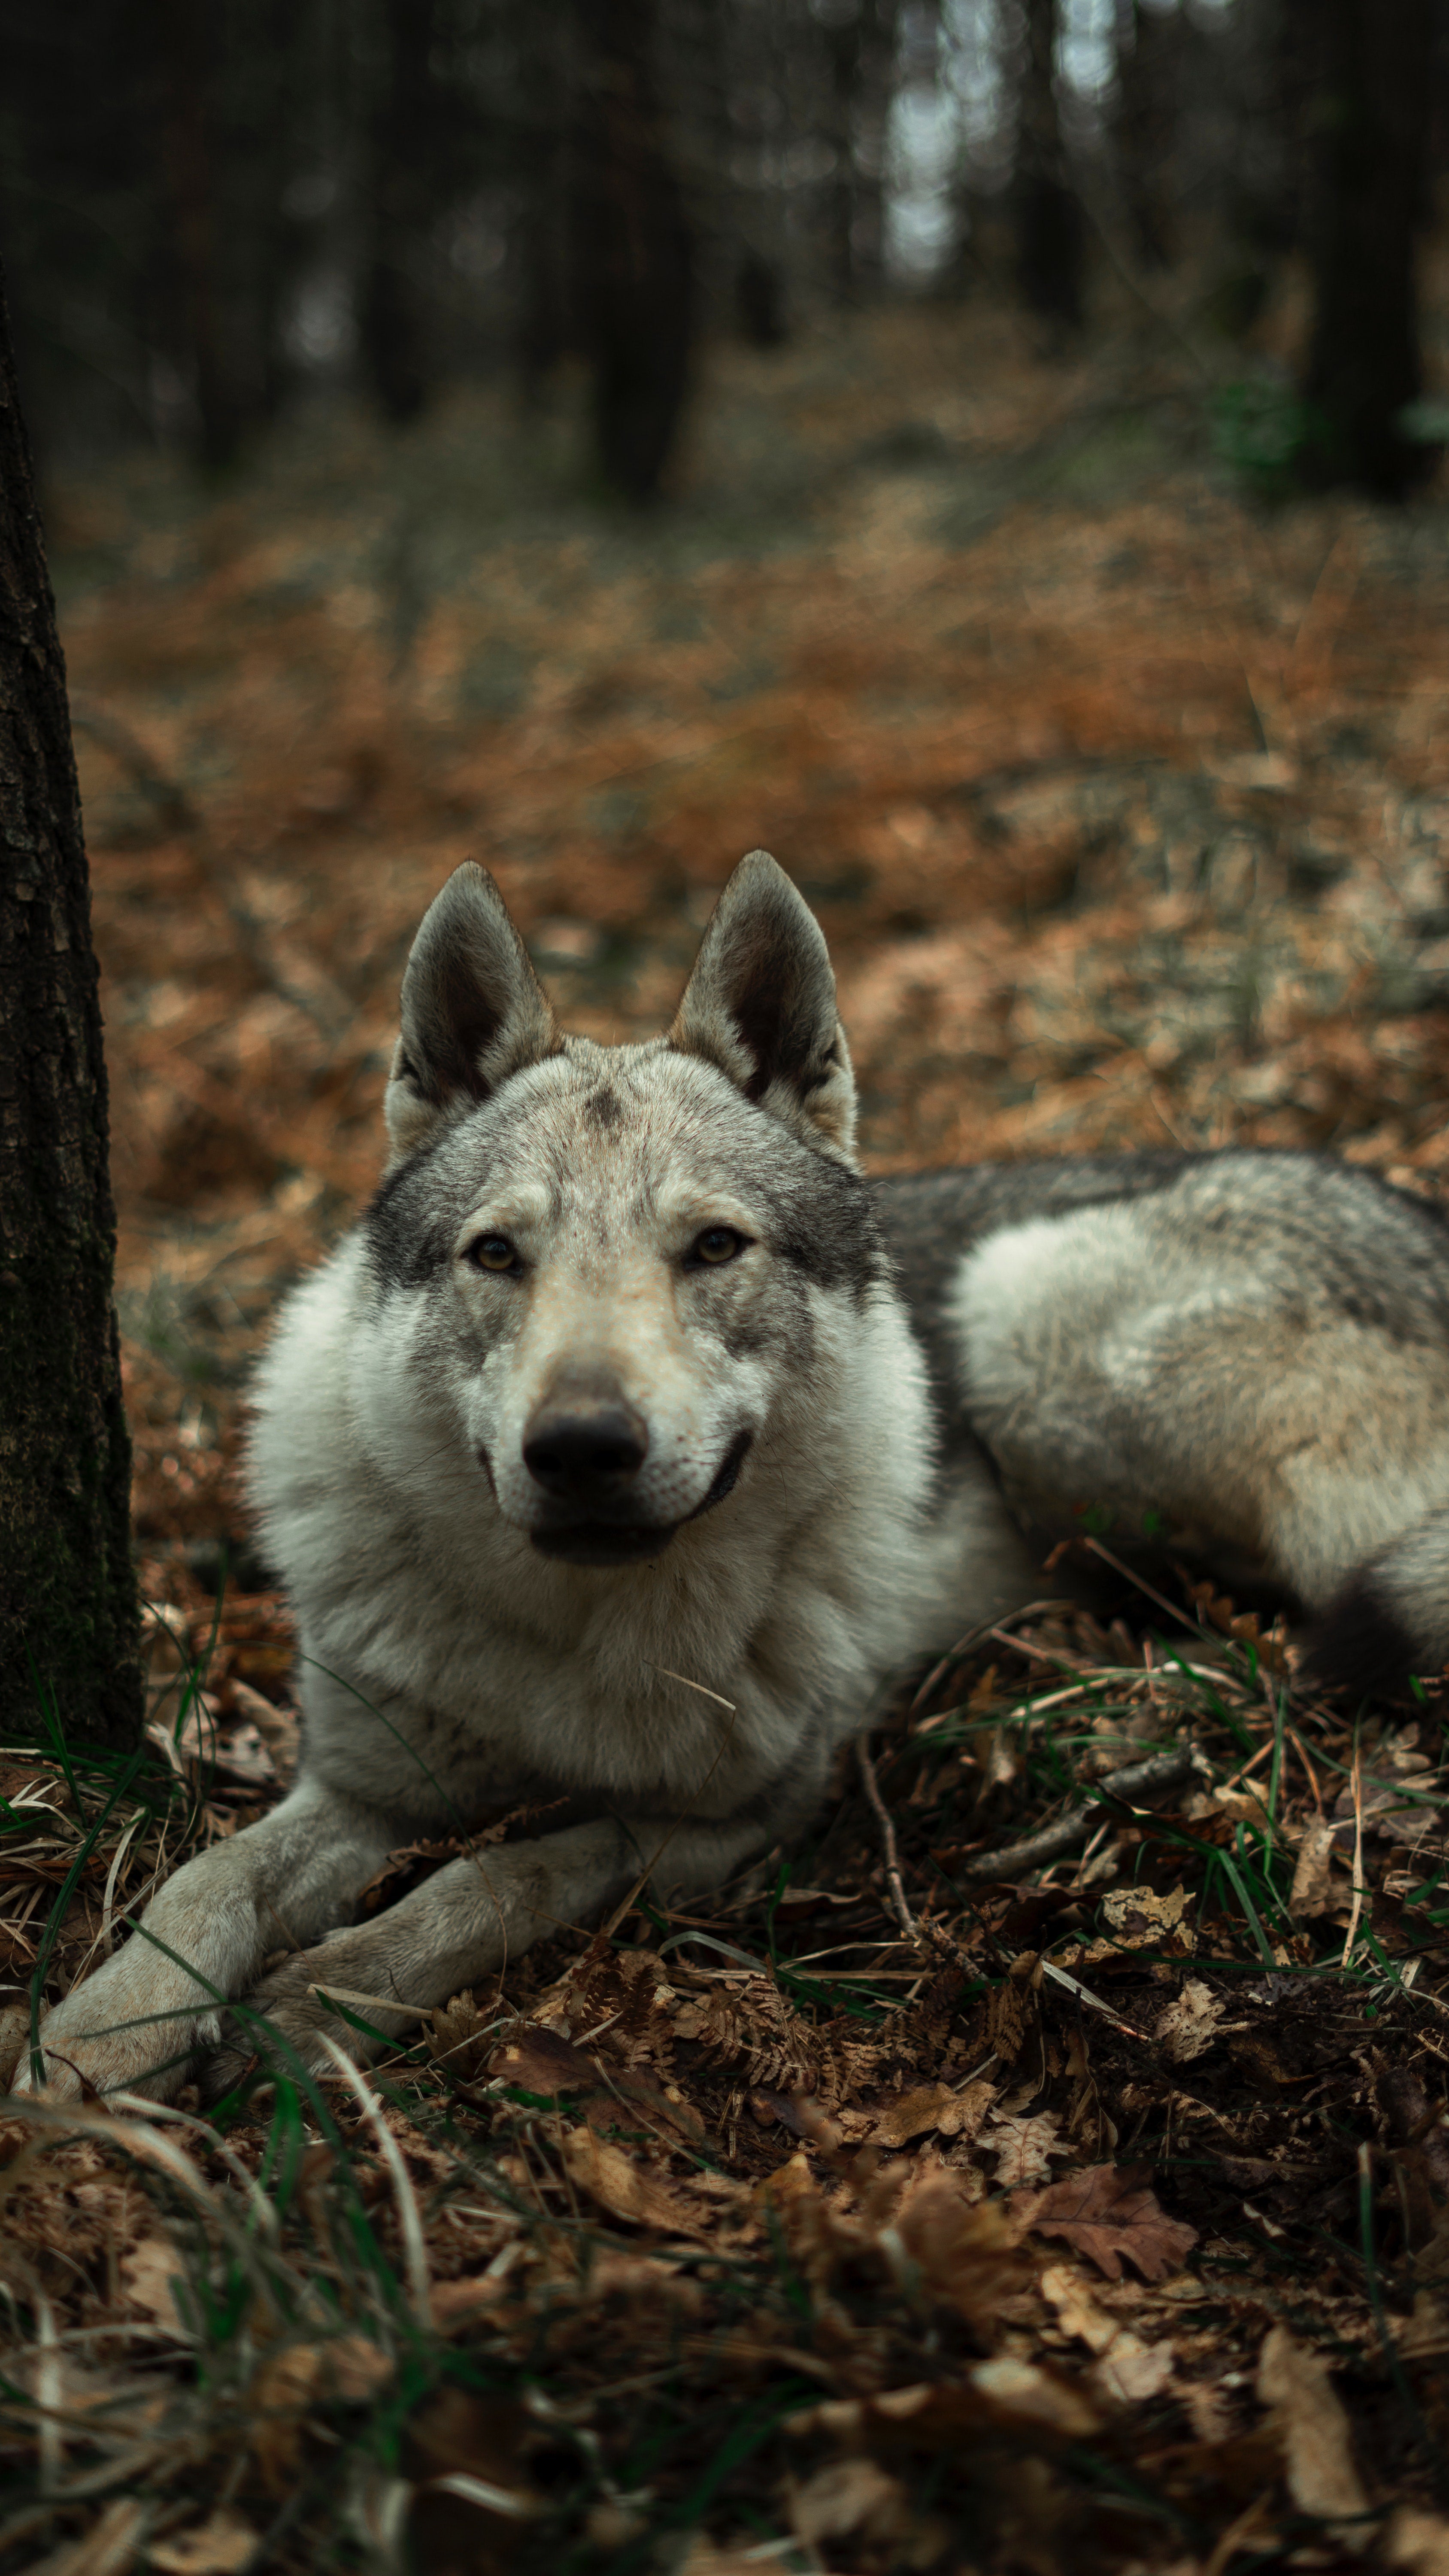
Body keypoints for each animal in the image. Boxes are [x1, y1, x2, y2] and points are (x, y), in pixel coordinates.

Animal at [24, 850, 1449, 2102]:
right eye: (498, 1256)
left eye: (713, 1247)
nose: (582, 1447)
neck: (575, 1645)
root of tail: (1402, 1199)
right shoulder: (360, 1785)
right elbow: (204, 1882)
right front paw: (91, 2046)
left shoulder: (727, 1818)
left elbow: (495, 1878)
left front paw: (315, 2003)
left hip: (1034, 1338)